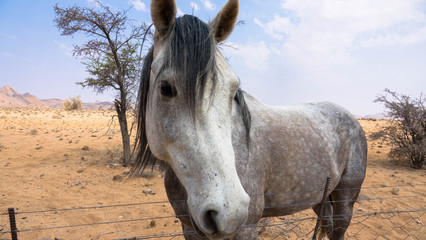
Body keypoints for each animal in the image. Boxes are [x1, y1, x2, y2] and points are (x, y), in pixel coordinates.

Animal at [133, 0, 366, 239]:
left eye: (233, 89)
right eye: (165, 88)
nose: (230, 212)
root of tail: (352, 119)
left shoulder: (247, 227)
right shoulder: (188, 227)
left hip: (345, 199)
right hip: (321, 195)